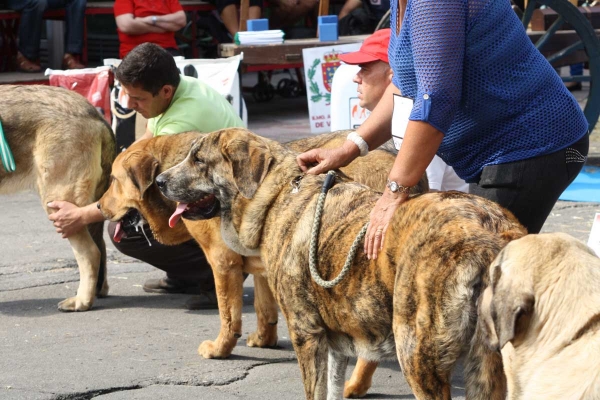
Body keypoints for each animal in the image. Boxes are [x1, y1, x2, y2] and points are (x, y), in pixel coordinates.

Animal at [97, 129, 426, 396]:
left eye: (113, 180)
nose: (98, 206)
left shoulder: (223, 262)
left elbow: (228, 315)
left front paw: (220, 348)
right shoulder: (263, 265)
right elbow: (263, 308)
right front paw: (264, 338)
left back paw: (355, 384)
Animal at [157, 129, 528, 400]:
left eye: (198, 160)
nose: (159, 182)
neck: (276, 193)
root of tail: (491, 229)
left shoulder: (306, 333)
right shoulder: (334, 340)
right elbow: (332, 387)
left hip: (418, 355)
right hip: (489, 365)